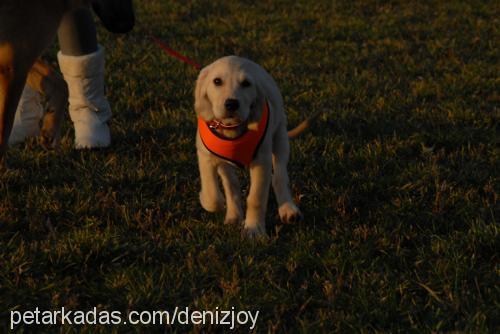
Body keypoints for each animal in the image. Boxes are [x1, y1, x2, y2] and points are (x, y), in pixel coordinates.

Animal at [0, 0, 134, 167]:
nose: (129, 25)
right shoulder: (14, 63)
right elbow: (3, 131)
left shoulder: (16, 58)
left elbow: (60, 83)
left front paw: (50, 128)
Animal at [193, 55, 302, 237]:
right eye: (217, 81)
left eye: (246, 84)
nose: (231, 104)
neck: (232, 128)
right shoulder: (205, 155)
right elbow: (213, 195)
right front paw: (207, 200)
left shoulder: (261, 161)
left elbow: (256, 198)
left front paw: (254, 229)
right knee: (231, 184)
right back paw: (233, 215)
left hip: (280, 138)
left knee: (279, 176)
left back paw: (288, 209)